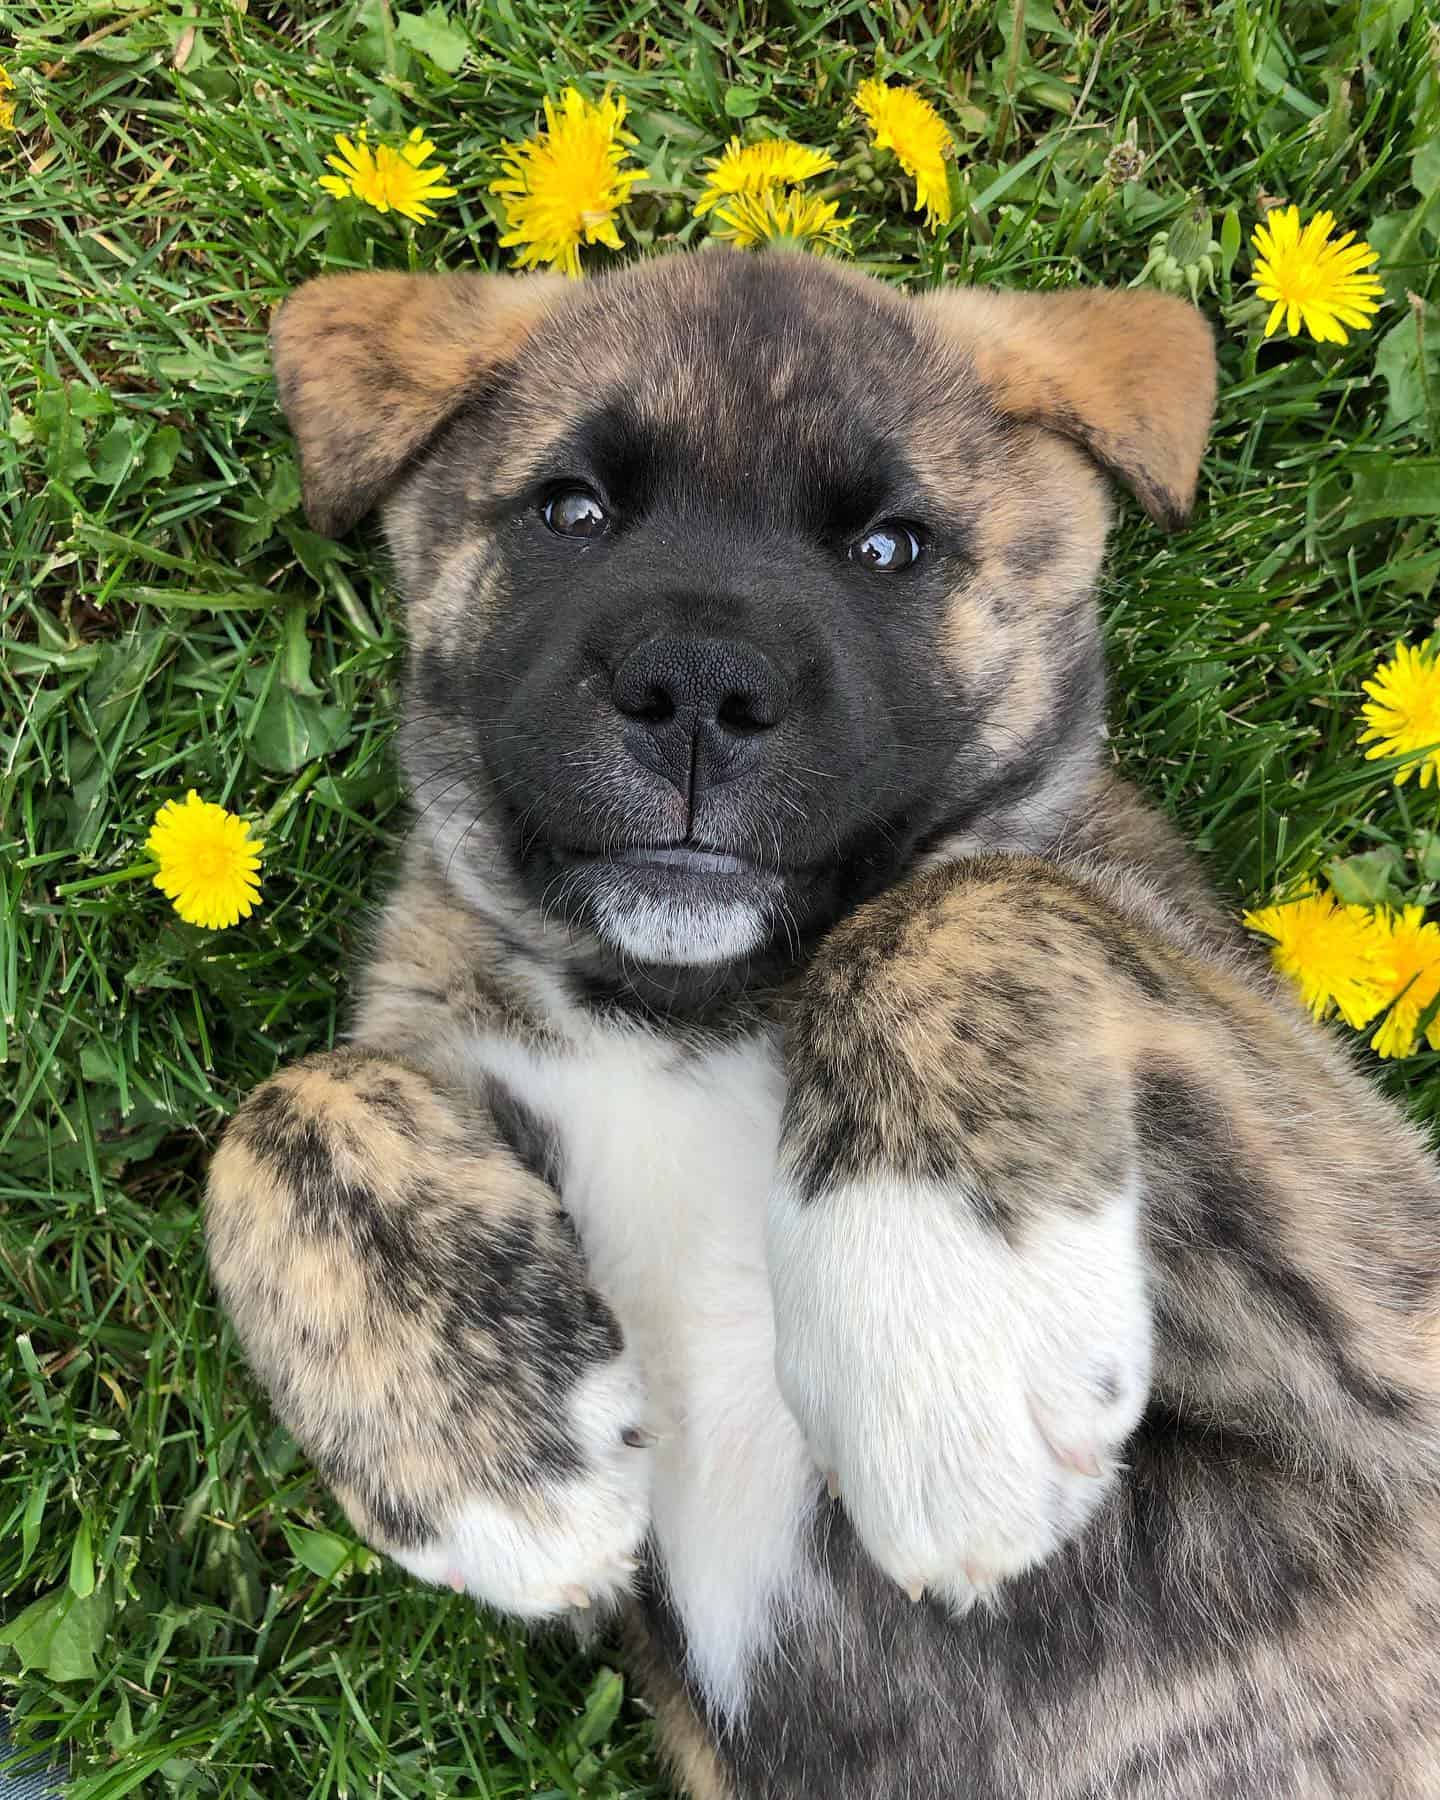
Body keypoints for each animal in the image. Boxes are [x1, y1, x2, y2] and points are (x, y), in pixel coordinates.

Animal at [205, 257, 1440, 1800]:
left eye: (892, 547)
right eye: (570, 510)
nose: (696, 689)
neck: (694, 1009)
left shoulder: (1391, 1316)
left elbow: (968, 898)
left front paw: (936, 1309)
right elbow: (287, 1104)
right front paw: (496, 1460)